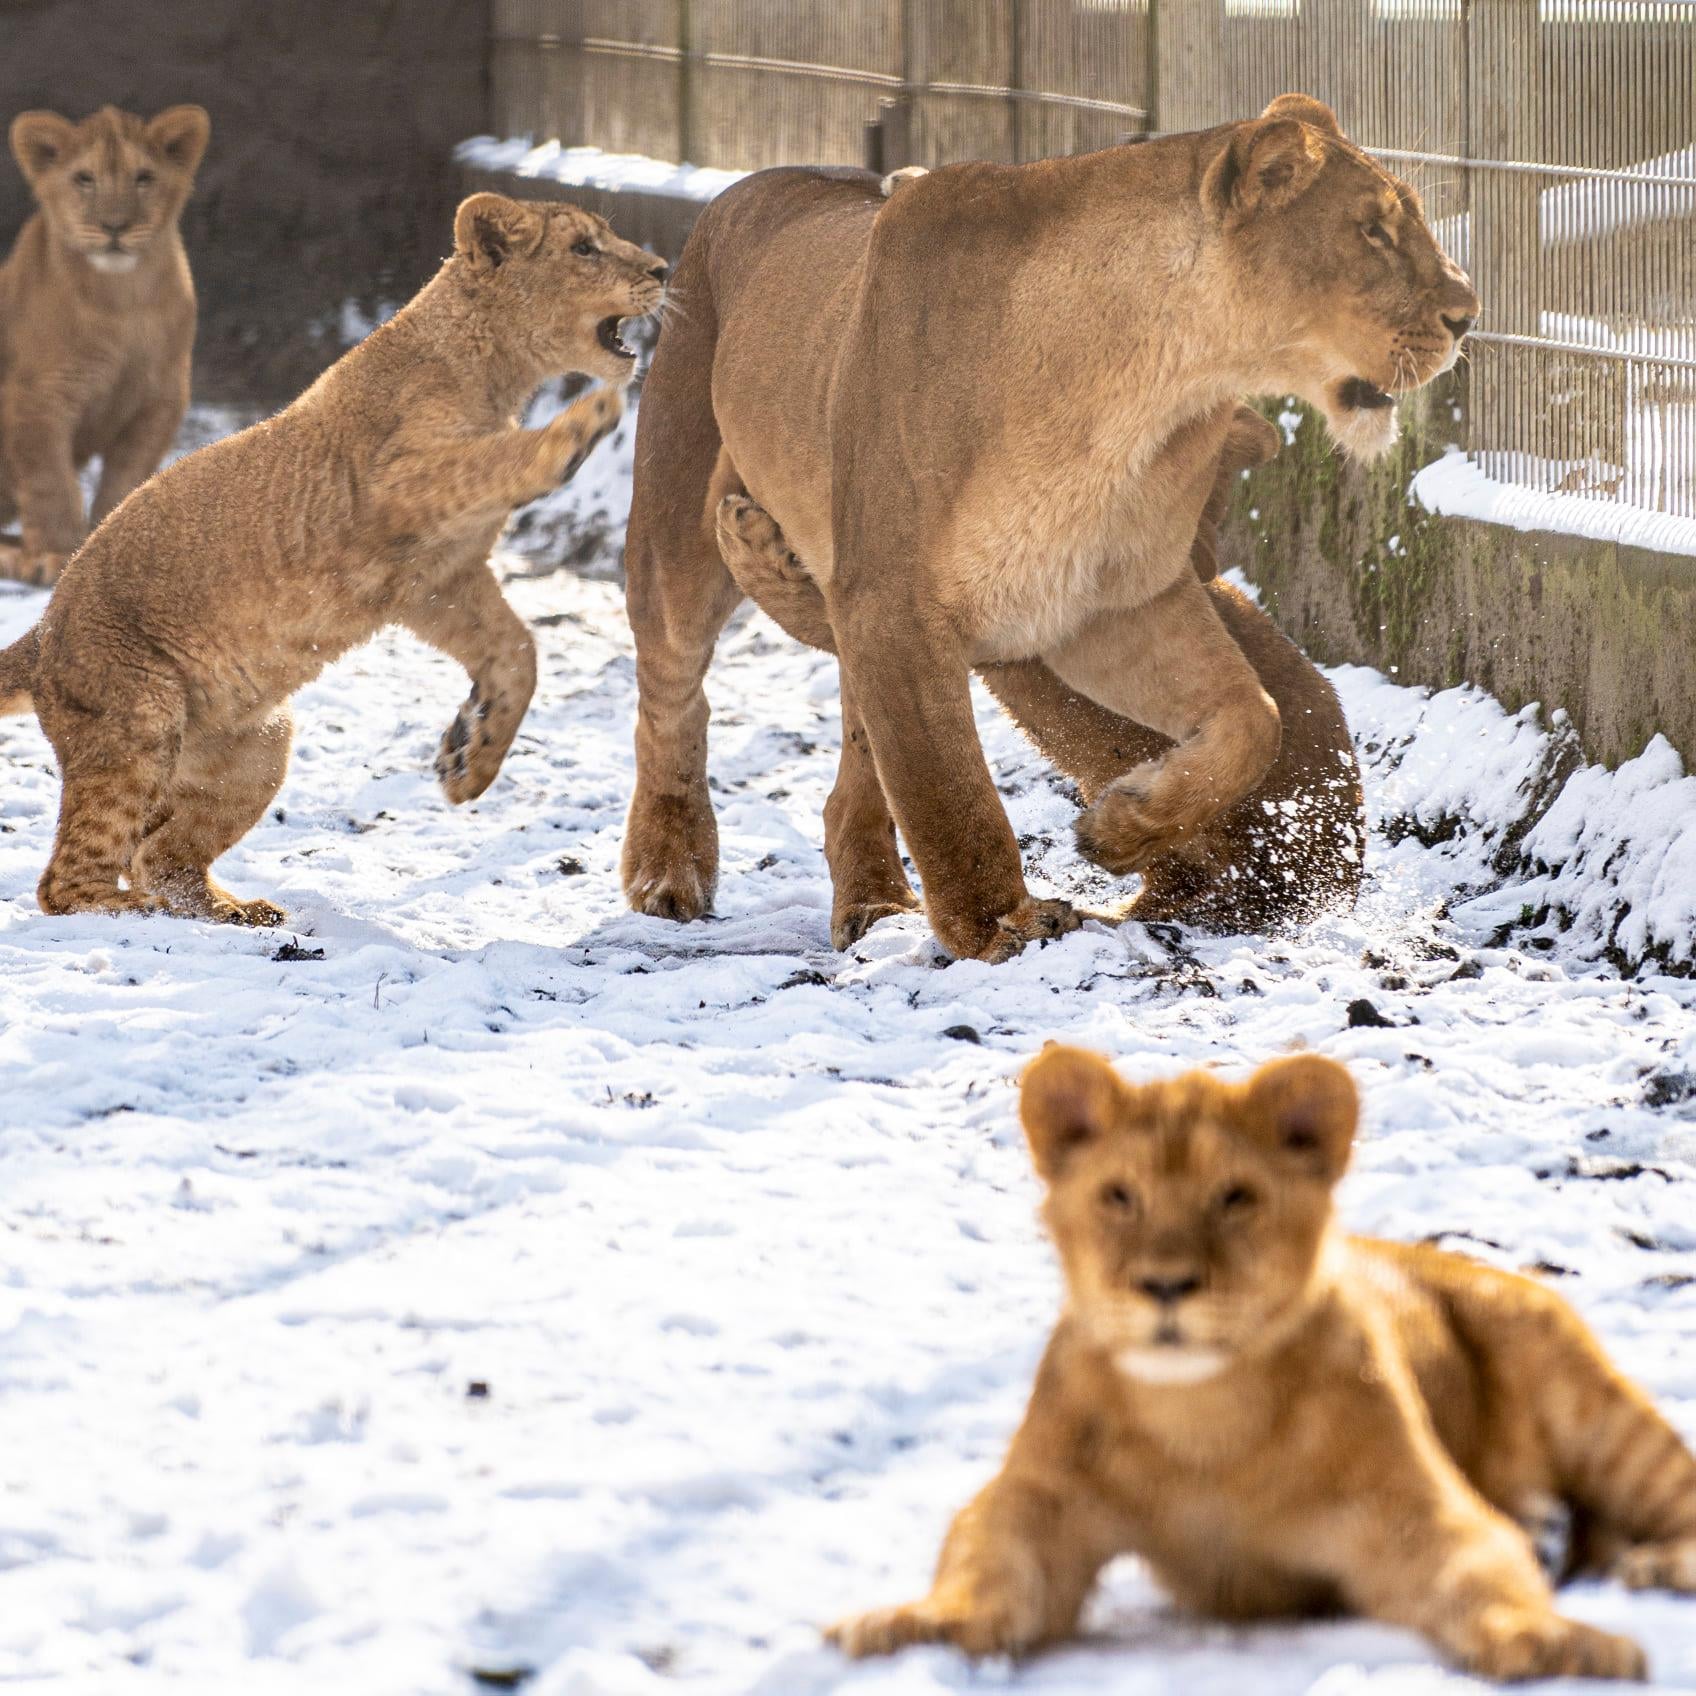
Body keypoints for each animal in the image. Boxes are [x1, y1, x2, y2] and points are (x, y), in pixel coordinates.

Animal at [620, 99, 1472, 963]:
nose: (1466, 316)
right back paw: (668, 871)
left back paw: (876, 899)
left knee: (857, 740)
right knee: (672, 698)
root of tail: (746, 188)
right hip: (674, 522)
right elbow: (948, 789)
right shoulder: (899, 600)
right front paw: (999, 927)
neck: (1146, 384)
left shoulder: (1110, 603)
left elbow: (1251, 717)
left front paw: (1120, 827)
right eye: (1373, 229)